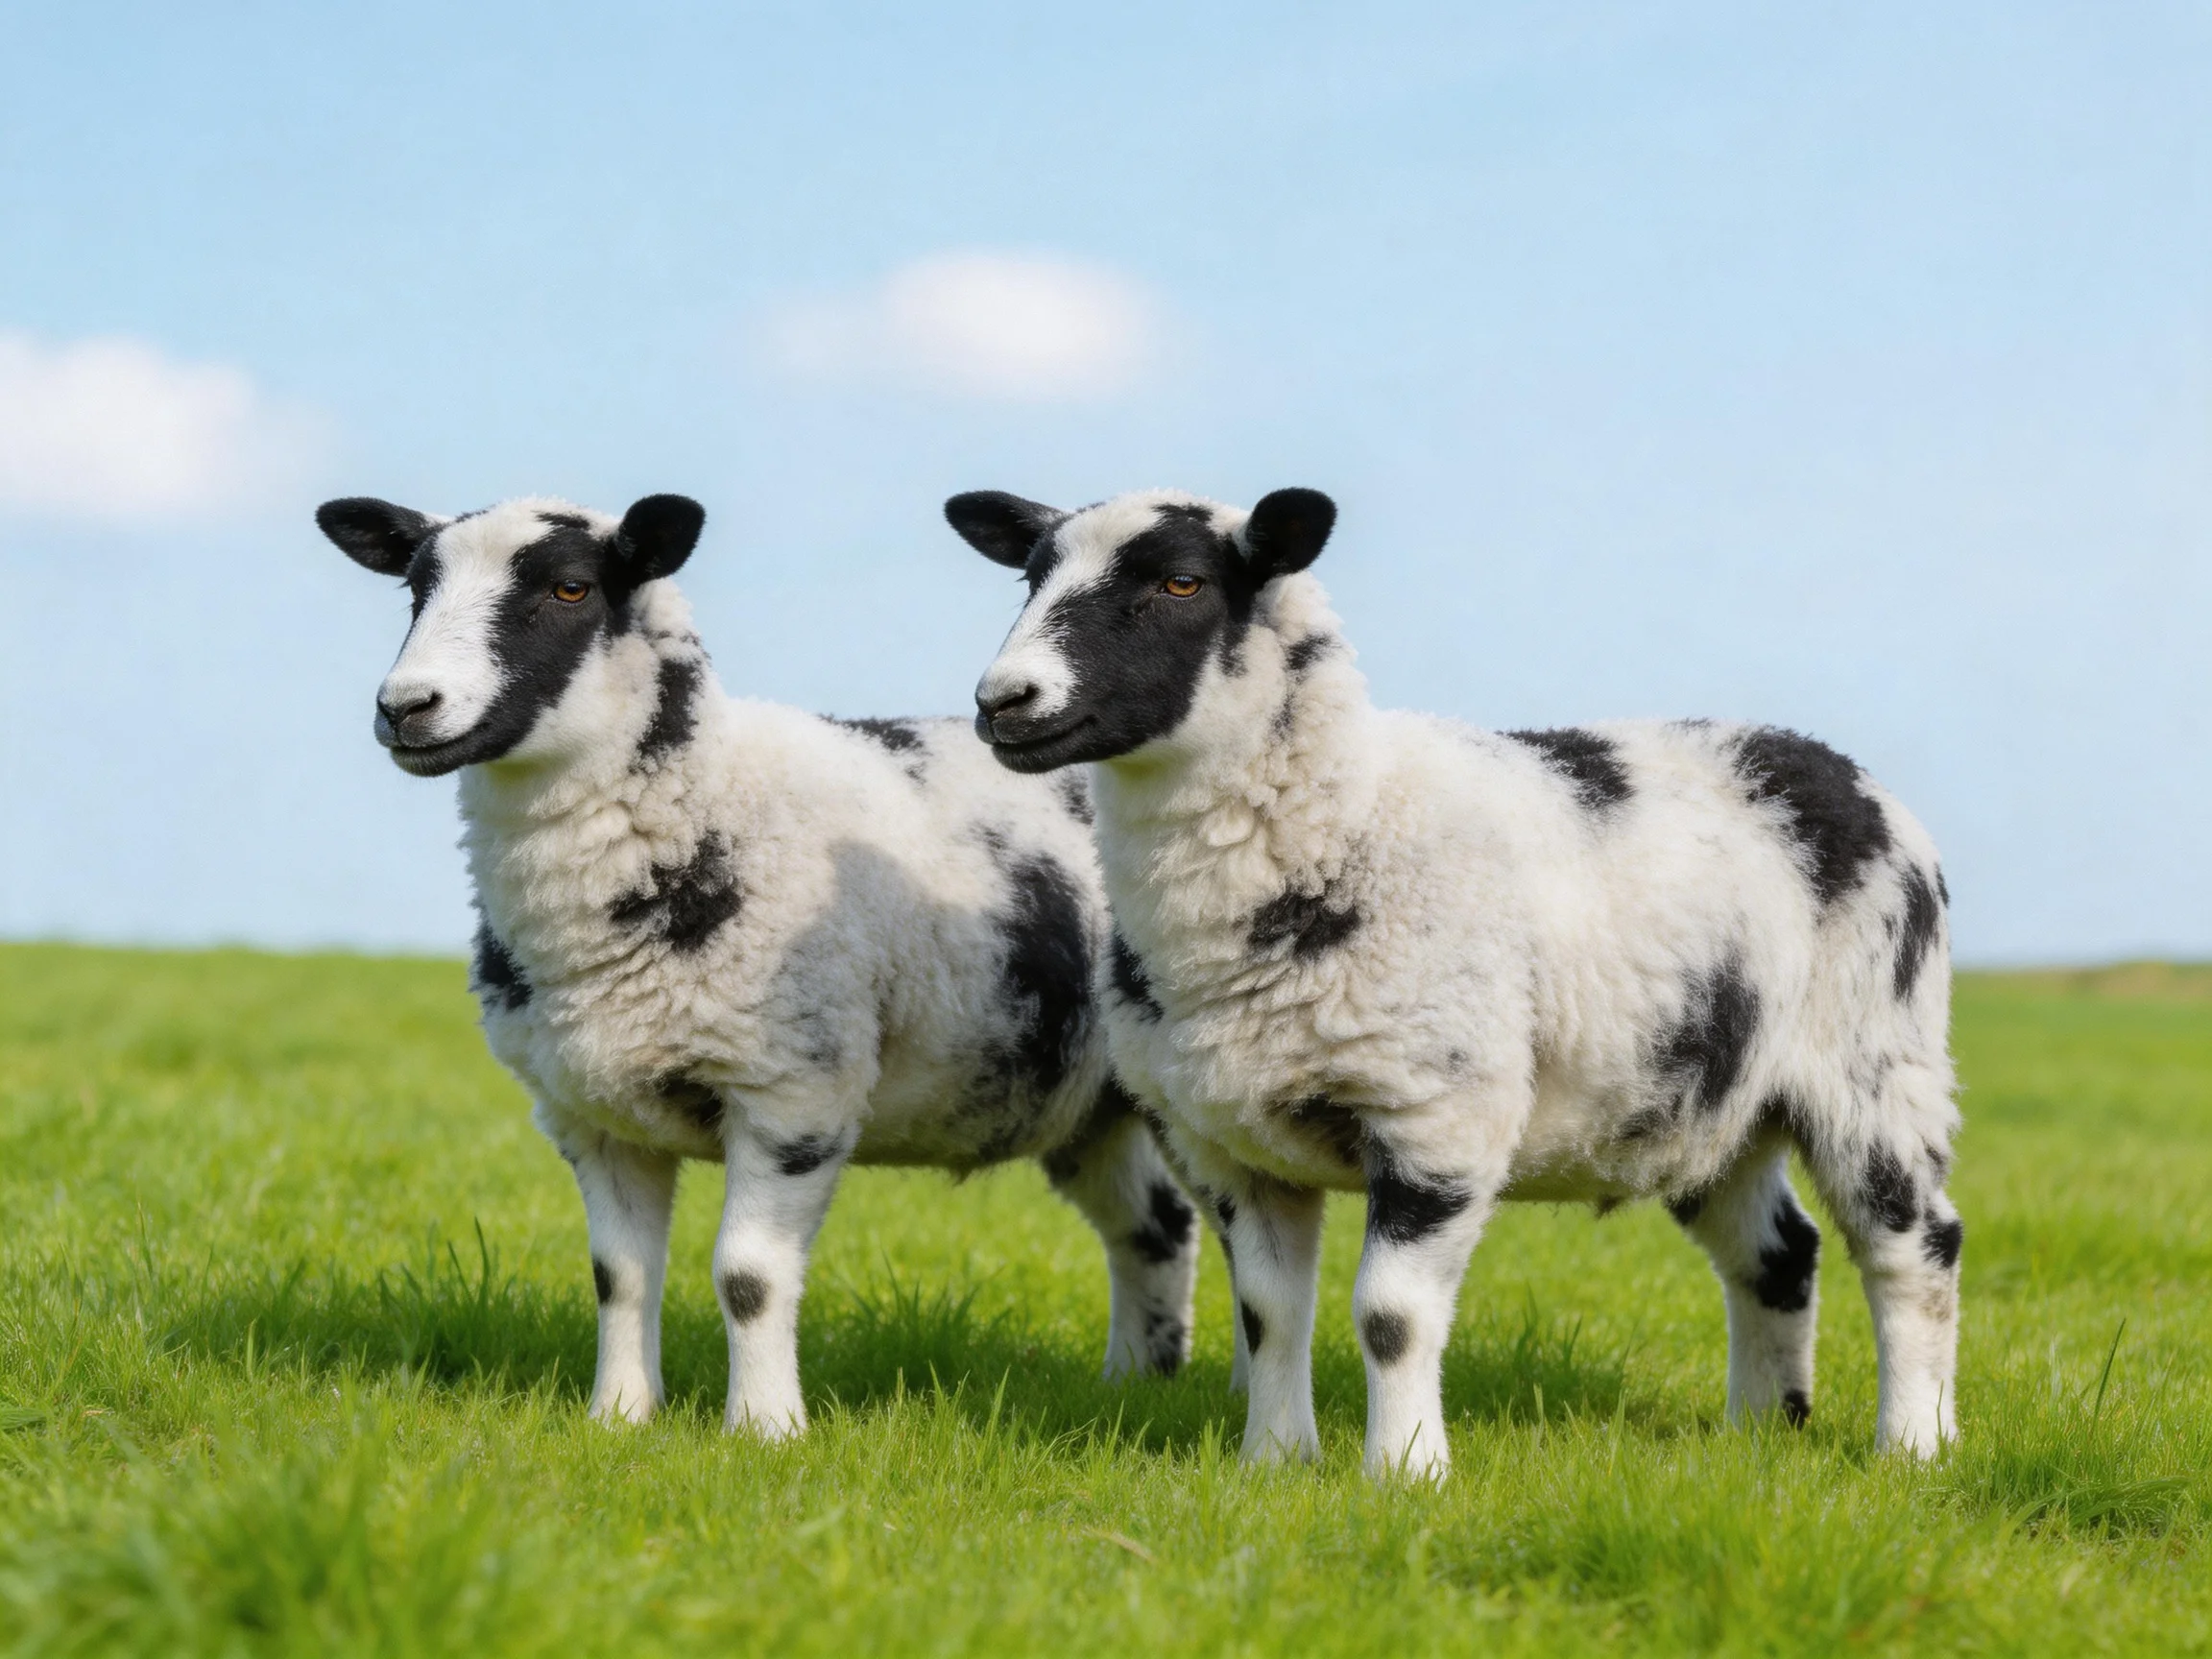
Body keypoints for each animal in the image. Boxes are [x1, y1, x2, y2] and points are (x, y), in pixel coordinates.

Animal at [313, 491, 1201, 1436]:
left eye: (570, 588)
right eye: (415, 590)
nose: (407, 707)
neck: (711, 798)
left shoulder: (795, 1089)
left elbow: (747, 1276)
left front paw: (765, 1429)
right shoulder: (593, 1113)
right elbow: (619, 1277)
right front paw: (618, 1418)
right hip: (1090, 1106)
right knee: (1154, 1227)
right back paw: (1136, 1384)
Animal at [948, 484, 1963, 1481]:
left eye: (1182, 584)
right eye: (1030, 578)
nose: (1004, 702)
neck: (1346, 815)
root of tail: (1833, 767)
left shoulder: (1437, 1112)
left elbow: (1390, 1315)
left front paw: (1404, 1472)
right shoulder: (1232, 1142)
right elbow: (1270, 1313)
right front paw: (1273, 1465)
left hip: (1878, 1062)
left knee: (1914, 1248)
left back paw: (1915, 1443)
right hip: (1710, 1103)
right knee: (1779, 1254)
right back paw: (1762, 1431)